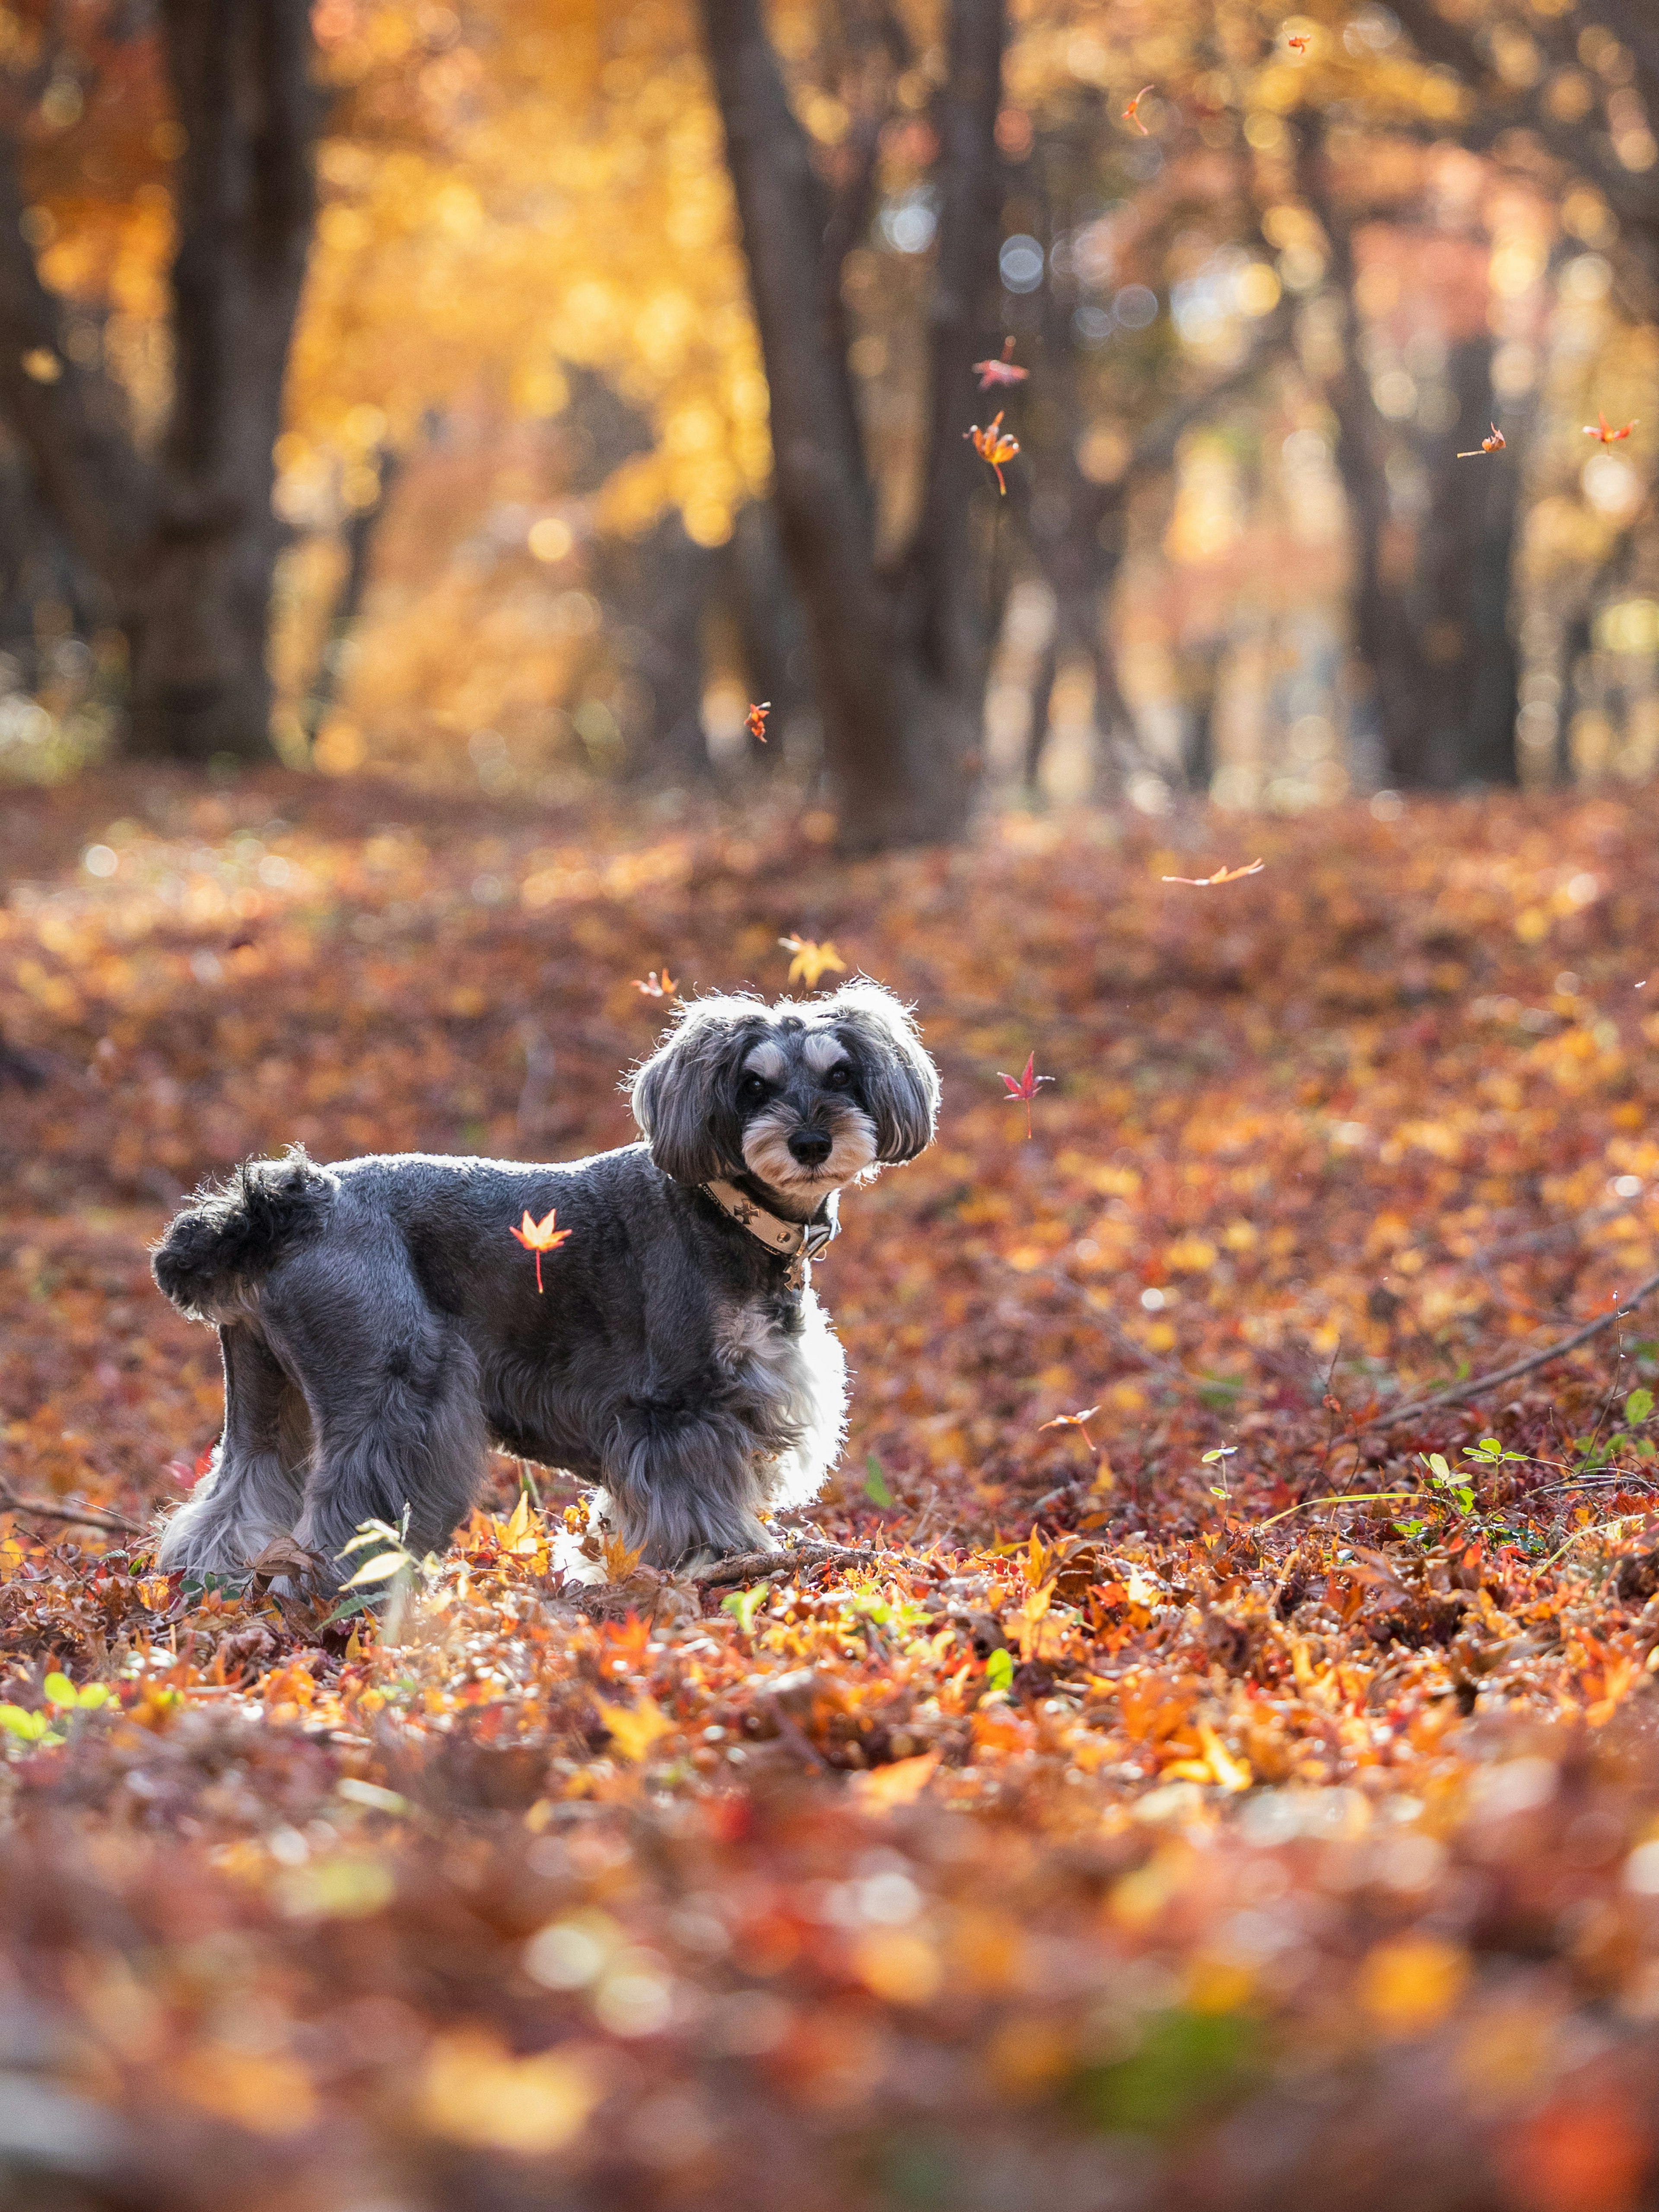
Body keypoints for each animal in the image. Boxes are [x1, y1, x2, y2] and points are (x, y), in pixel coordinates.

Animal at [149, 986, 942, 1592]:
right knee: (349, 1515)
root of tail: (282, 1210)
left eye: (841, 1076)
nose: (811, 1142)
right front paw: (720, 1567)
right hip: (397, 1397)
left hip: (269, 1402)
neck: (729, 1211)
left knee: (232, 1501)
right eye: (754, 1085)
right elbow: (694, 1507)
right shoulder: (680, 1409)